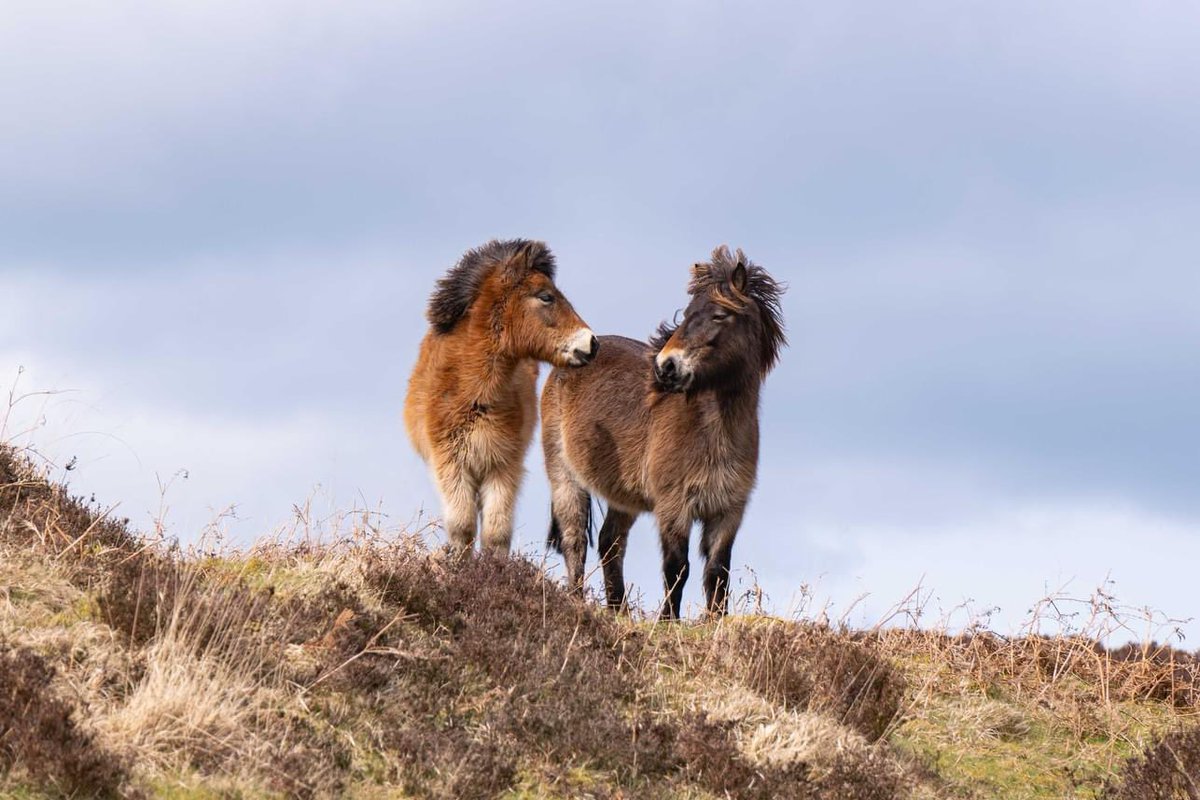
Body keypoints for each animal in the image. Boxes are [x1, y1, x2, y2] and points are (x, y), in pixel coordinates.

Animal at [408, 241, 600, 554]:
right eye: (546, 296)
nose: (592, 343)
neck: (475, 394)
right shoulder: (452, 464)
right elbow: (462, 528)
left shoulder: (503, 466)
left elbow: (496, 534)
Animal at [544, 244, 787, 618]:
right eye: (687, 314)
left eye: (720, 315)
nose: (666, 367)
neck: (713, 434)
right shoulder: (674, 507)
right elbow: (677, 567)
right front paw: (668, 619)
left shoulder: (728, 511)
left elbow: (718, 570)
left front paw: (714, 619)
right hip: (564, 477)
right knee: (575, 541)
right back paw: (578, 602)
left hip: (624, 497)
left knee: (610, 542)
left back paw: (619, 610)